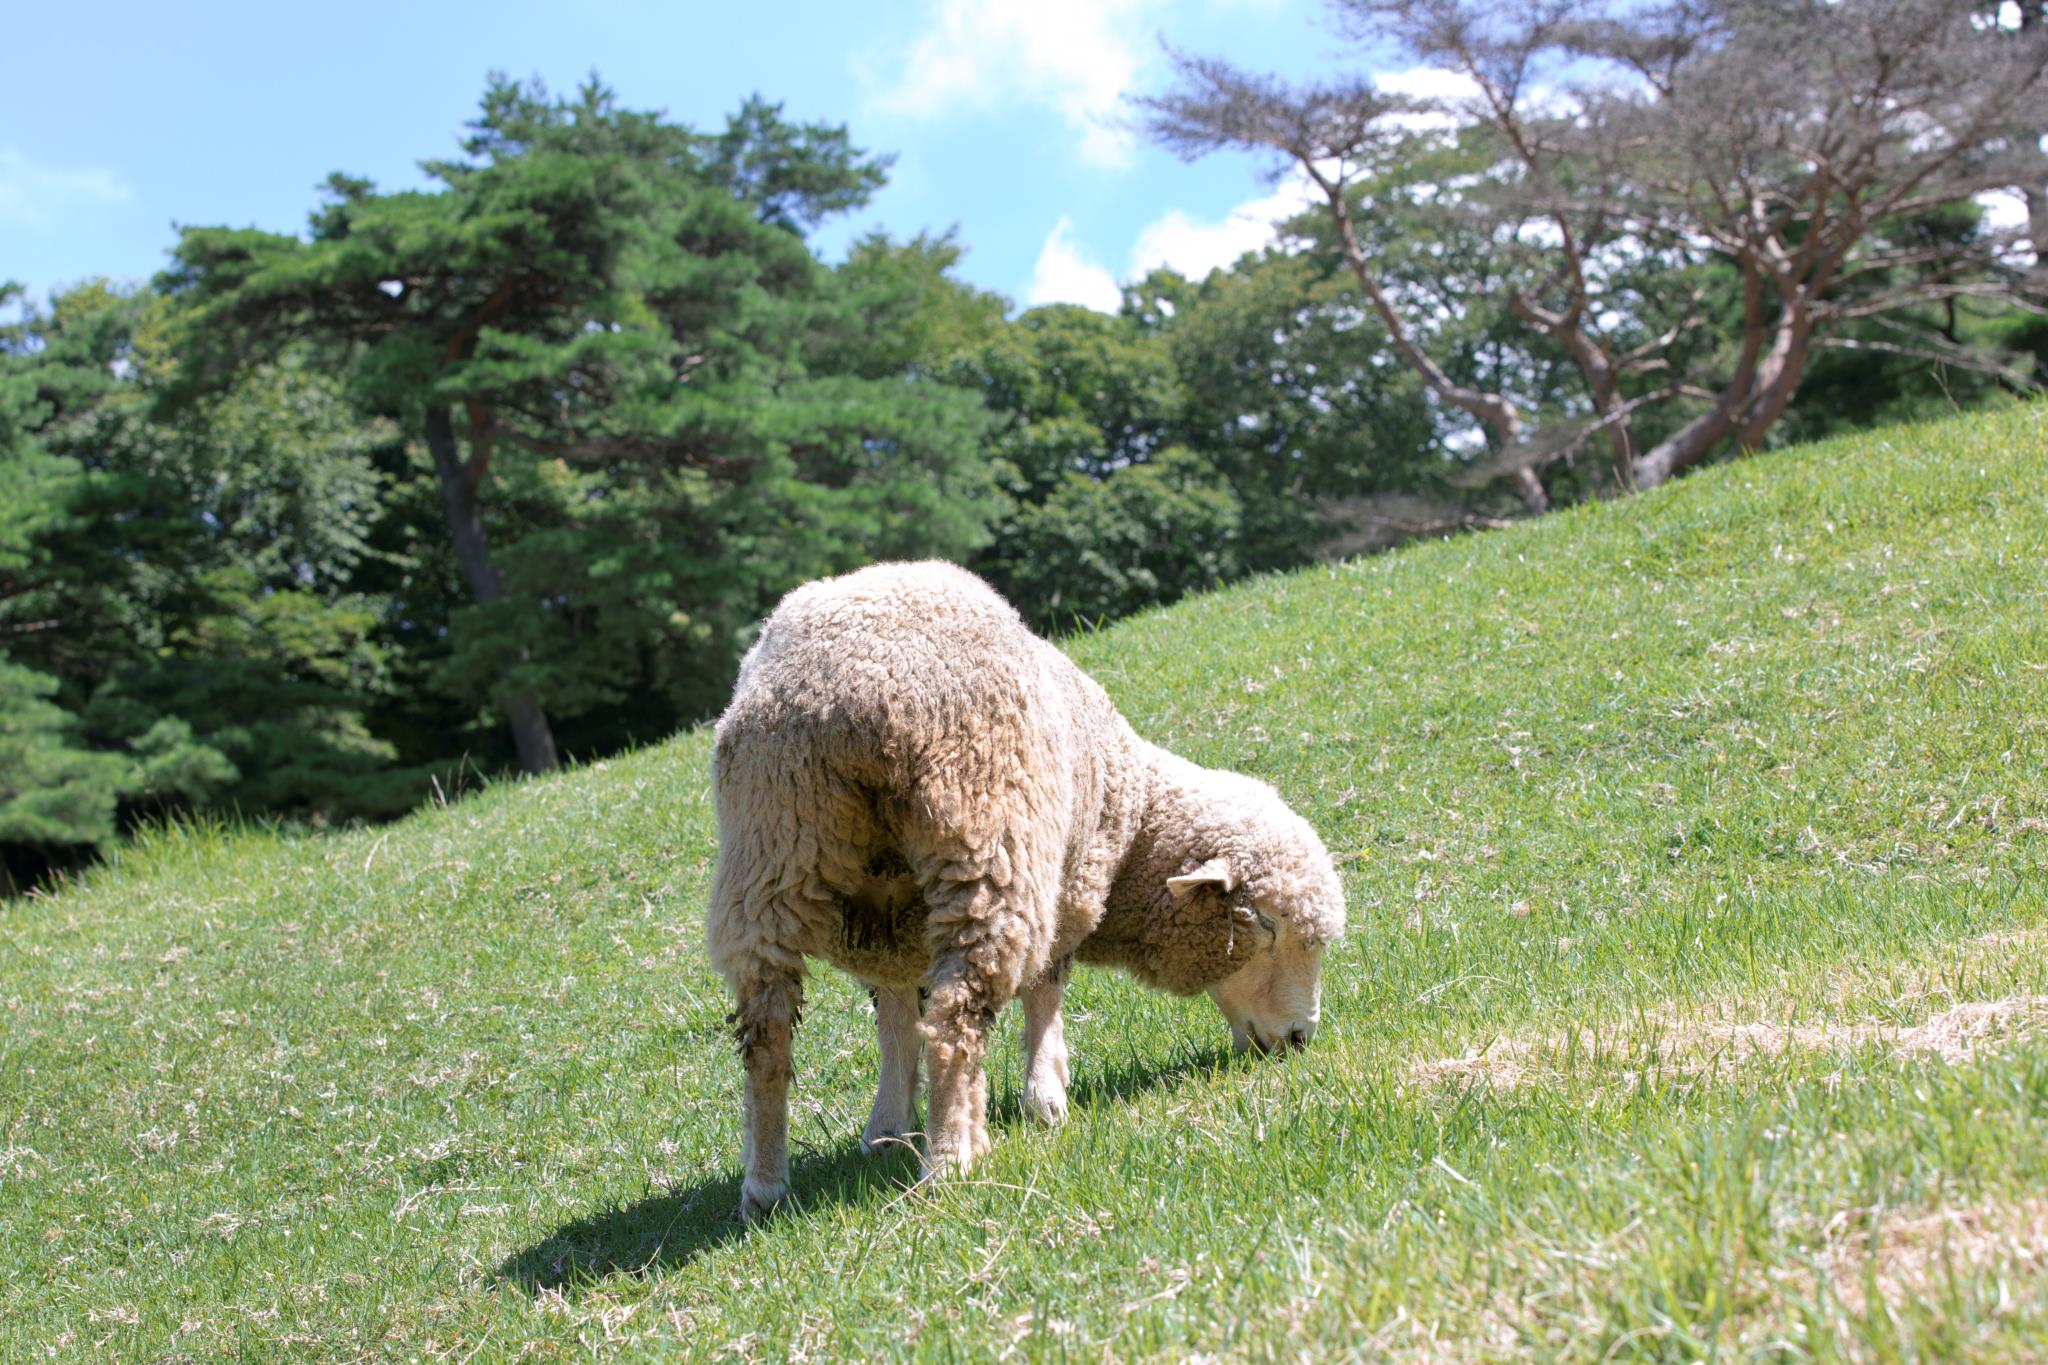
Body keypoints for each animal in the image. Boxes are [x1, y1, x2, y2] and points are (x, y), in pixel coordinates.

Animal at [704, 560, 1343, 1219]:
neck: (1134, 824)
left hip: (769, 850)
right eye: (1267, 926)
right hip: (988, 844)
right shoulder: (1067, 887)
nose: (1301, 1039)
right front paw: (1046, 1098)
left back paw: (765, 1187)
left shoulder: (890, 934)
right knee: (956, 1019)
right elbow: (1045, 991)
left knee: (767, 1033)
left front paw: (887, 1128)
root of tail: (850, 698)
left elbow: (897, 1019)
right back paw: (952, 1157)